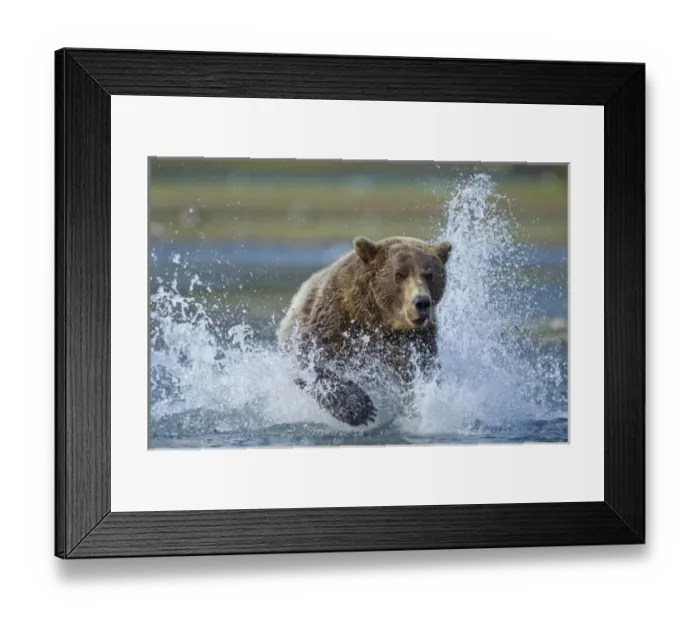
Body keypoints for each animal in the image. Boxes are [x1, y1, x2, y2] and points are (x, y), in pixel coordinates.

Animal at [278, 236, 452, 427]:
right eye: (399, 274)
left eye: (430, 274)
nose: (421, 302)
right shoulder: (332, 319)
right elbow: (310, 360)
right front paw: (359, 408)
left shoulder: (415, 340)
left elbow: (419, 370)